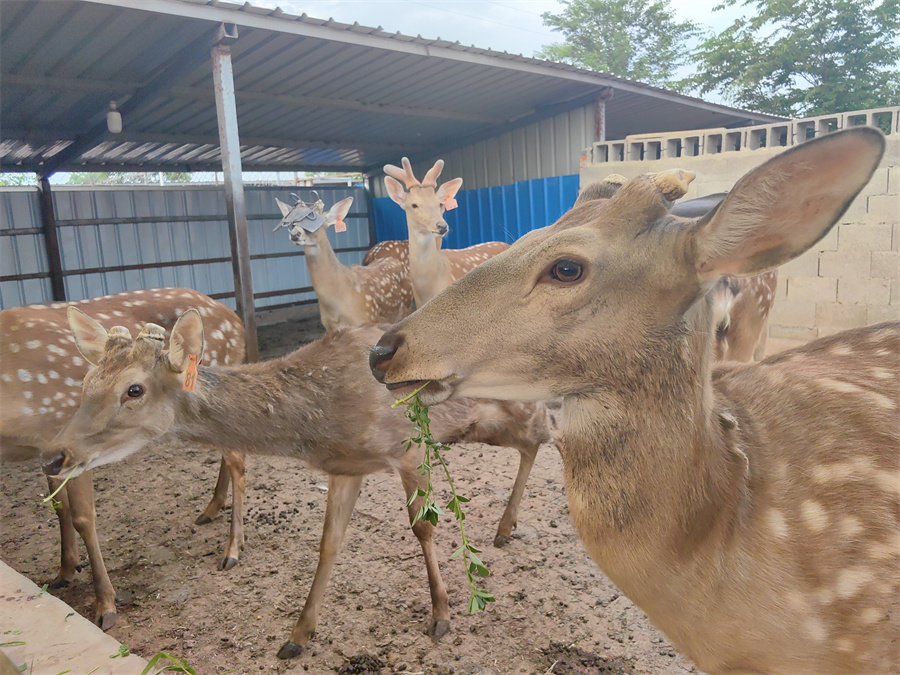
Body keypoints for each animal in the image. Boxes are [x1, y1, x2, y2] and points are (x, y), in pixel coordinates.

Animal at [0, 288, 246, 630]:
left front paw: (105, 604)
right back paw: (210, 510)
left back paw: (232, 549)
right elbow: (59, 508)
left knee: (237, 455)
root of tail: (235, 318)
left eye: (133, 390)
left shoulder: (56, 432)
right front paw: (65, 571)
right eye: (85, 382)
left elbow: (82, 518)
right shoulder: (46, 450)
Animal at [42, 315, 551, 659]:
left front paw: (442, 615)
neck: (324, 419)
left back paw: (507, 525)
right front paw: (297, 636)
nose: (54, 455)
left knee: (544, 432)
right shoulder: (346, 467)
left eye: (134, 390)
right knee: (536, 439)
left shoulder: (407, 449)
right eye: (85, 382)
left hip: (502, 415)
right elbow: (329, 543)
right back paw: (505, 526)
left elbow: (423, 528)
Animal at [274, 193, 413, 332]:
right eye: (292, 222)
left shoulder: (367, 319)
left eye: (318, 221)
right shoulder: (329, 327)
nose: (295, 234)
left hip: (406, 307)